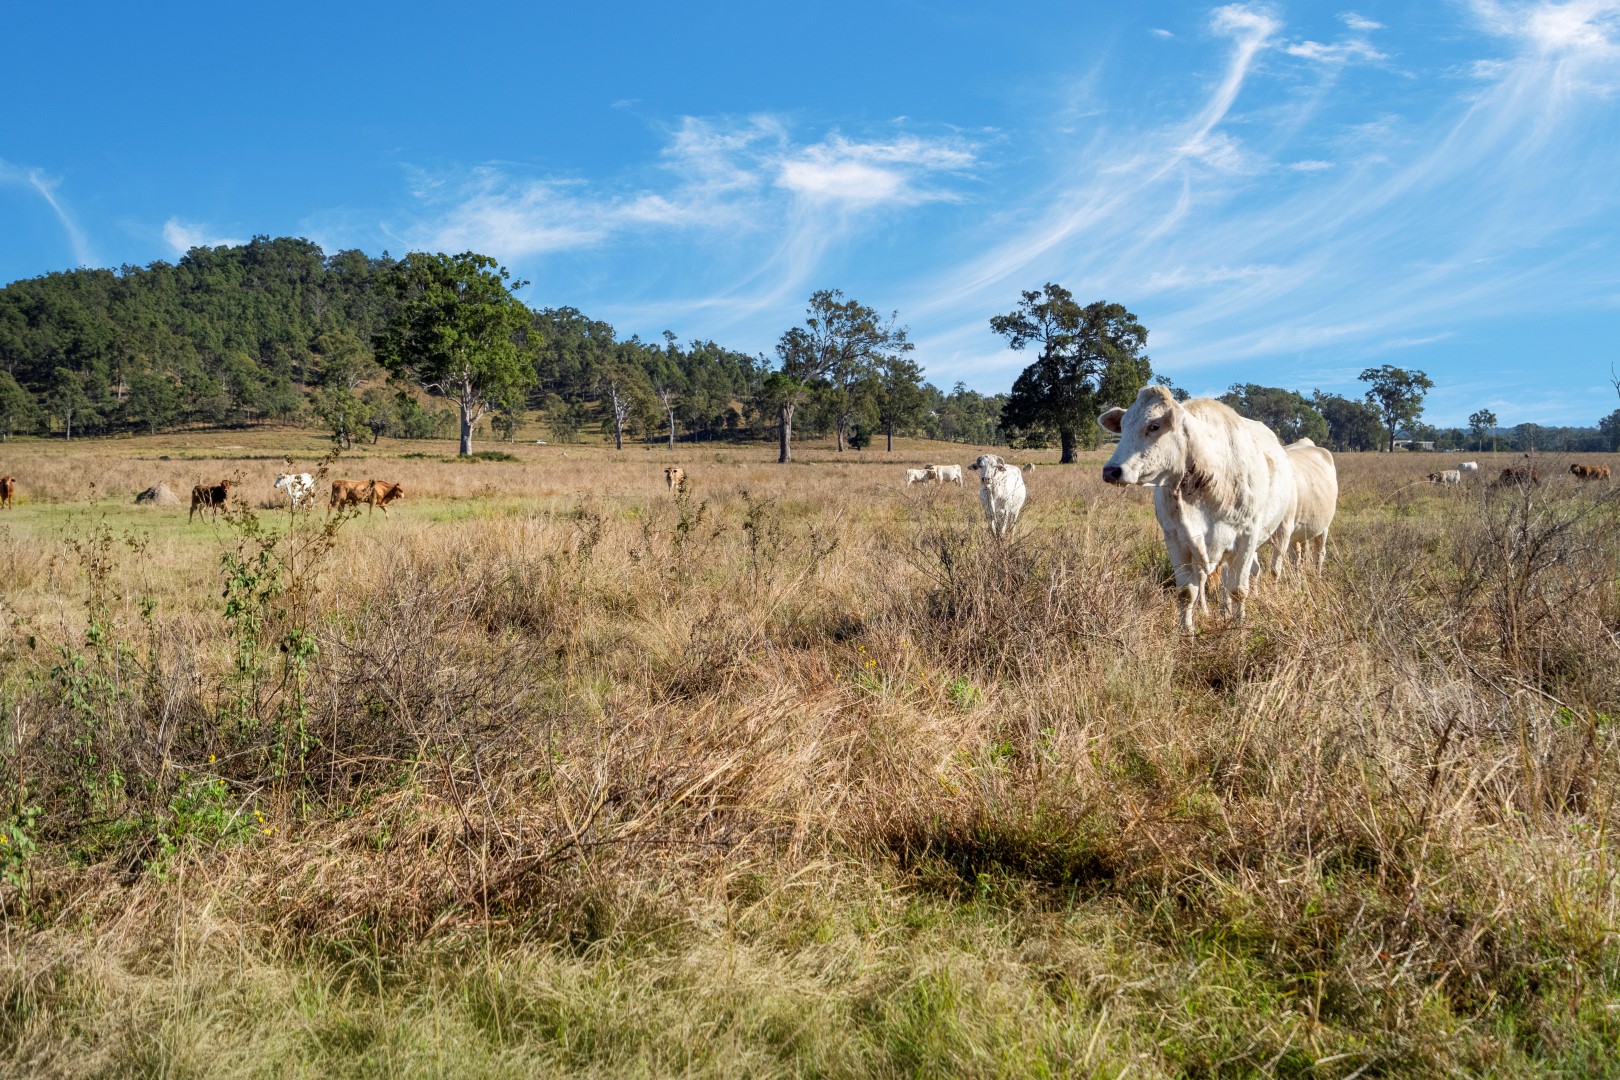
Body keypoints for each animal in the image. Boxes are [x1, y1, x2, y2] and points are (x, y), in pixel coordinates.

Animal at [1095, 383, 1296, 634]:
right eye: (1122, 427)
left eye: (1154, 426)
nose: (1111, 471)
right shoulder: (1176, 539)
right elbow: (1186, 592)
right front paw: (1187, 631)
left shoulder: (1246, 538)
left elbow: (1239, 590)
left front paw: (1239, 627)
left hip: (1278, 530)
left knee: (1251, 574)